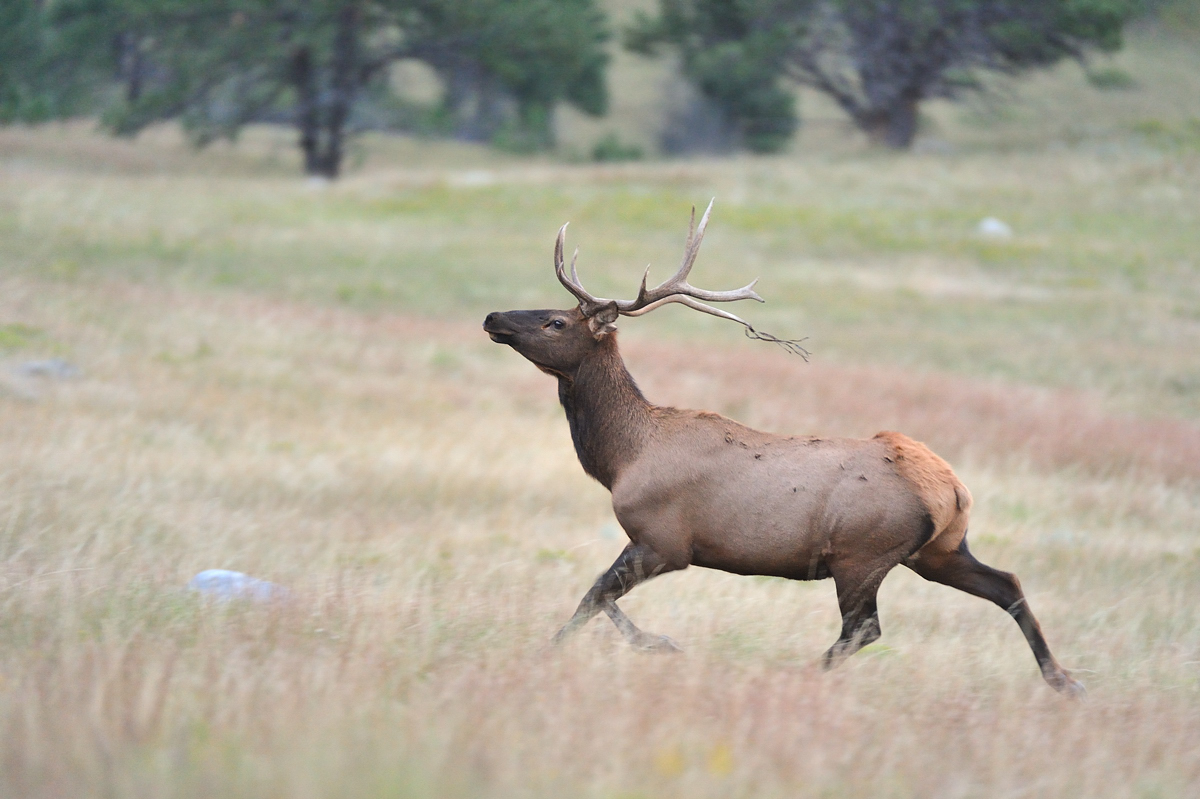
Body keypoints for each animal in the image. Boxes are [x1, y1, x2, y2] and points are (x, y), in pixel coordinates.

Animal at [482, 201, 1084, 697]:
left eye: (555, 321)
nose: (492, 317)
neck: (620, 457)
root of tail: (952, 490)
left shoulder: (663, 540)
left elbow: (593, 596)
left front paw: (642, 646)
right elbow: (595, 598)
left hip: (861, 553)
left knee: (864, 627)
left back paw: (796, 676)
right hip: (938, 550)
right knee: (1006, 584)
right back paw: (1064, 680)